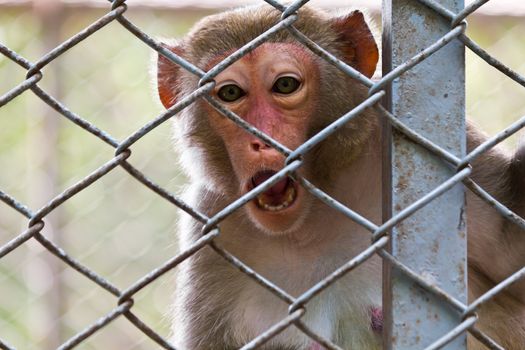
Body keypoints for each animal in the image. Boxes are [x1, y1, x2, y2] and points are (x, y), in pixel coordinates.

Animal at [155, 5, 524, 350]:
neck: (308, 224)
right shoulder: (211, 228)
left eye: (285, 85)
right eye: (230, 94)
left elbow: (510, 253)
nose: (260, 140)